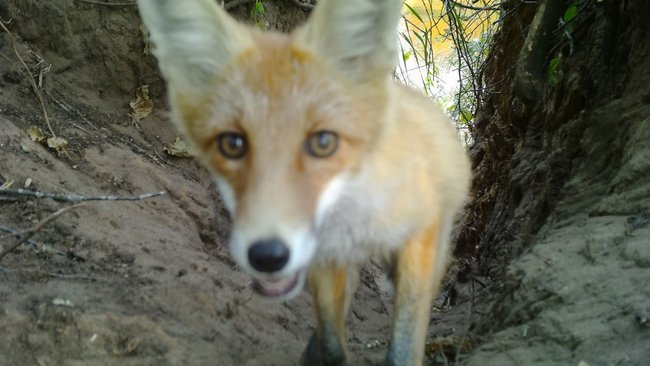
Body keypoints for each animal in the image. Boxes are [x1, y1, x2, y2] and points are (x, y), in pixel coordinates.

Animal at [138, 0, 470, 364]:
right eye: (232, 144)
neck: (352, 217)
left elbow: (403, 348)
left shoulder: (420, 238)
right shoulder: (324, 258)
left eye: (323, 142)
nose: (267, 256)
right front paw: (324, 353)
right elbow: (333, 345)